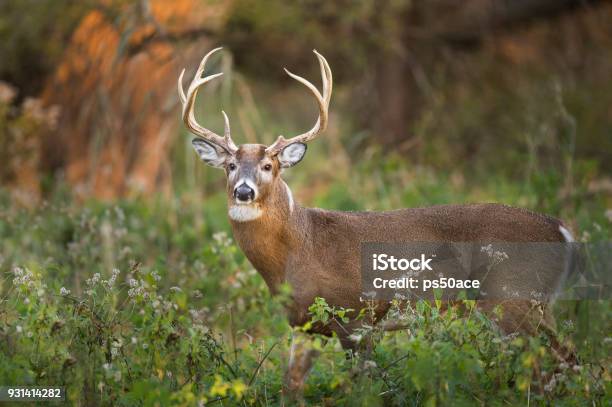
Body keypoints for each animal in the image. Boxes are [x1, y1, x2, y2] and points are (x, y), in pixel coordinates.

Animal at [176, 47, 572, 396]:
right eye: (230, 165)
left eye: (268, 165)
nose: (243, 191)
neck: (299, 249)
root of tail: (562, 231)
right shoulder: (304, 324)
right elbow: (291, 386)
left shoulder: (358, 315)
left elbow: (362, 384)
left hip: (513, 298)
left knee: (553, 361)